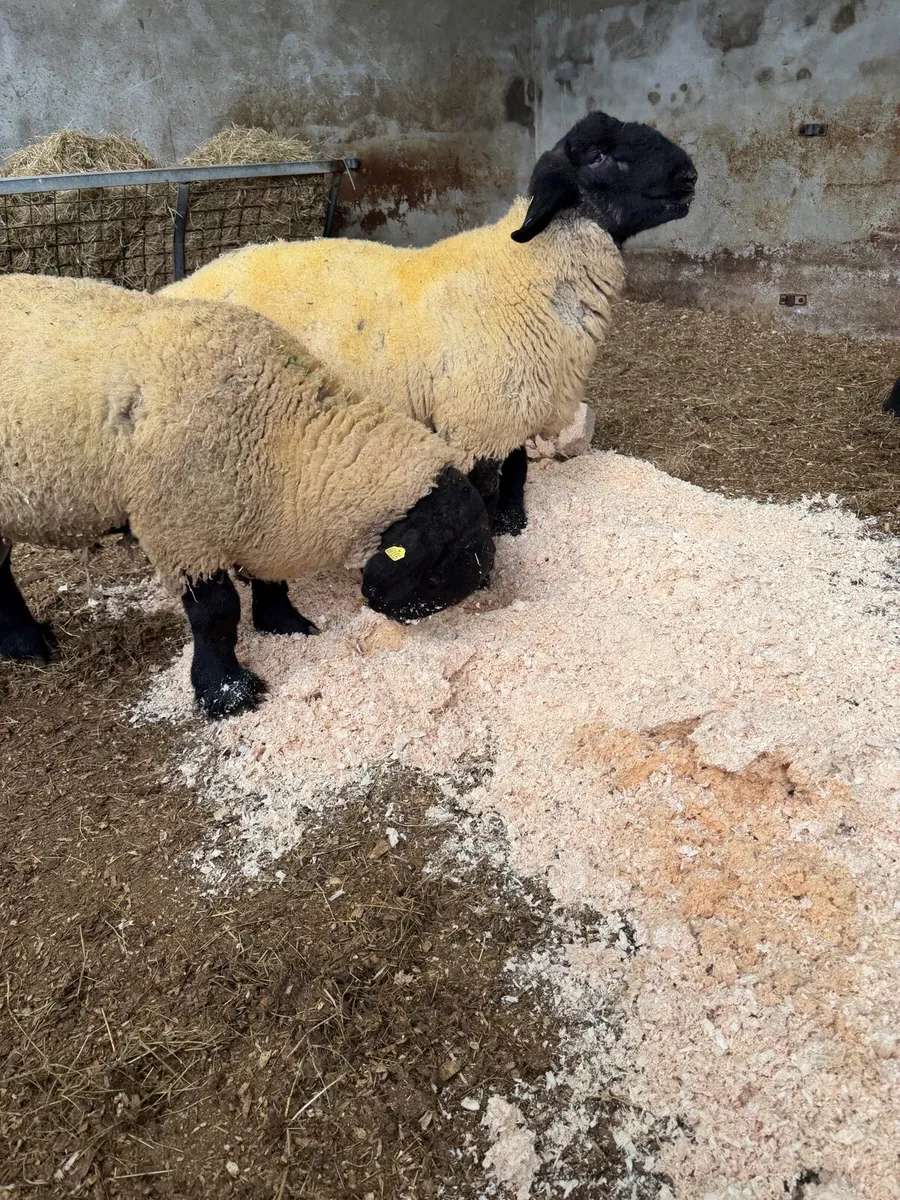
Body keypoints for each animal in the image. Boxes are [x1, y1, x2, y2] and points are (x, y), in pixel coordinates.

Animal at [0, 275, 495, 718]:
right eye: (436, 574)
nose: (403, 616)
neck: (283, 430)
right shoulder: (181, 530)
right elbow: (216, 615)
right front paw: (226, 693)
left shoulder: (259, 508)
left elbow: (270, 579)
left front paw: (284, 625)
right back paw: (28, 644)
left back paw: (22, 641)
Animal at [162, 109, 697, 537]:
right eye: (601, 156)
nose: (690, 175)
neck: (524, 271)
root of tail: (172, 291)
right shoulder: (479, 418)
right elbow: (488, 486)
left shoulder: (511, 410)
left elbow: (518, 473)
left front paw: (514, 525)